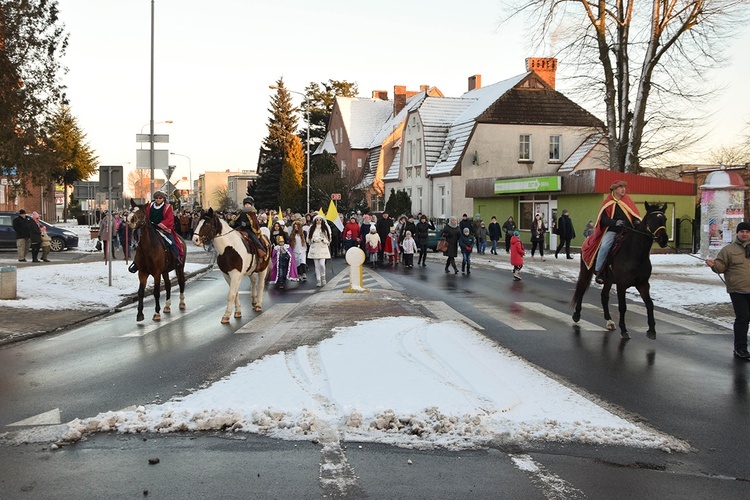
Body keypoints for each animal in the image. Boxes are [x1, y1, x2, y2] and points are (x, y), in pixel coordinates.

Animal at [572, 202, 672, 340]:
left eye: (665, 219)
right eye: (650, 220)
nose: (663, 239)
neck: (635, 254)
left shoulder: (643, 284)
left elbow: (649, 304)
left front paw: (651, 330)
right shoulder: (621, 285)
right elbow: (623, 307)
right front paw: (624, 330)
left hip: (608, 279)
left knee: (604, 297)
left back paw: (609, 321)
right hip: (586, 271)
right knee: (581, 289)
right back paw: (576, 315)